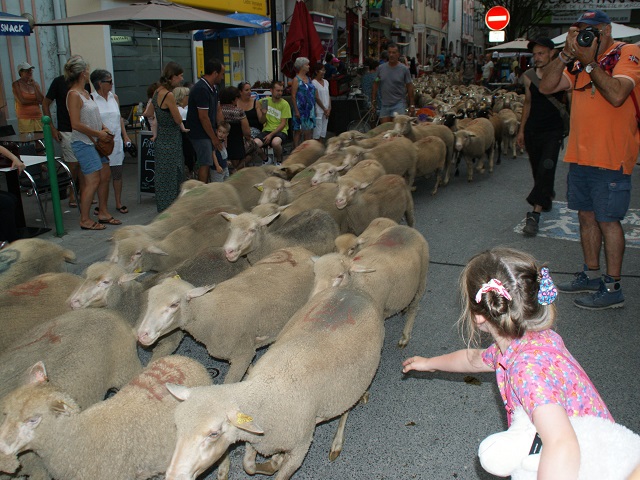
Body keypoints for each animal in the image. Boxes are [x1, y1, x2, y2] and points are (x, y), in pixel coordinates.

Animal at [137, 246, 316, 384]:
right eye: (149, 299)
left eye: (174, 304)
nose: (142, 335)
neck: (210, 312)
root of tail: (301, 249)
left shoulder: (243, 354)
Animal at [165, 284, 384, 480]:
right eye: (177, 426)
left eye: (214, 434)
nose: (174, 475)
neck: (264, 392)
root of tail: (355, 289)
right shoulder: (257, 438)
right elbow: (249, 466)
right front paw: (273, 461)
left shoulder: (300, 448)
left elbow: (279, 472)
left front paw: (275, 463)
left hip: (354, 381)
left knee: (346, 409)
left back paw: (337, 443)